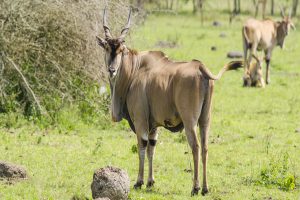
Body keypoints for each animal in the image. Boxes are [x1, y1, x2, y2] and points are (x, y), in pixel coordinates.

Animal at [96, 7, 244, 195]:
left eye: (121, 50)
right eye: (107, 48)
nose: (112, 70)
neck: (135, 70)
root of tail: (201, 67)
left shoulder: (141, 120)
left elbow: (142, 145)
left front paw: (139, 182)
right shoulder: (154, 125)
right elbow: (152, 147)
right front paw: (150, 182)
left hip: (189, 121)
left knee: (195, 146)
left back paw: (195, 187)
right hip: (205, 120)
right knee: (205, 147)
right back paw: (205, 188)